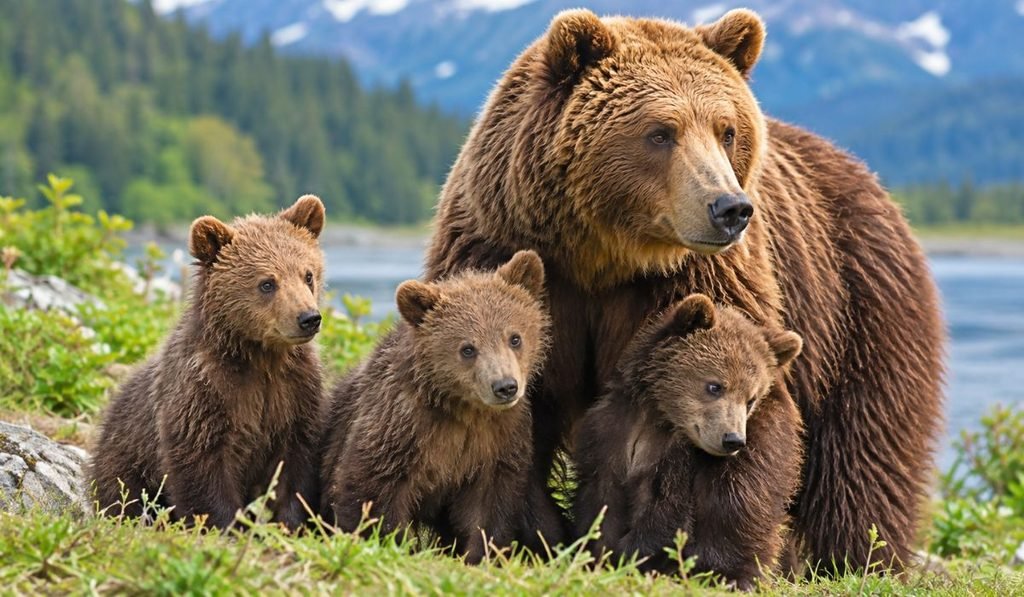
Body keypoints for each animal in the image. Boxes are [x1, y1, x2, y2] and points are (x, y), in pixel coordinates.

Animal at [89, 195, 326, 530]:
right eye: (267, 283)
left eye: (308, 275)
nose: (308, 318)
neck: (259, 357)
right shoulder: (204, 390)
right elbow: (201, 463)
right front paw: (224, 525)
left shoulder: (294, 393)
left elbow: (294, 466)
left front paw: (290, 523)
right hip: (124, 455)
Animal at [318, 250, 564, 563]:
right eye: (468, 348)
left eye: (515, 337)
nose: (505, 386)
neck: (462, 408)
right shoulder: (399, 425)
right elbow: (368, 487)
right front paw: (388, 543)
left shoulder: (497, 440)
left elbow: (489, 506)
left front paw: (479, 555)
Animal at [574, 294, 803, 589]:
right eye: (715, 386)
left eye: (751, 399)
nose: (733, 439)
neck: (653, 417)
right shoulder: (608, 436)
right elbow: (601, 503)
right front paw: (597, 553)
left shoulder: (677, 461)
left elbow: (670, 513)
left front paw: (631, 557)